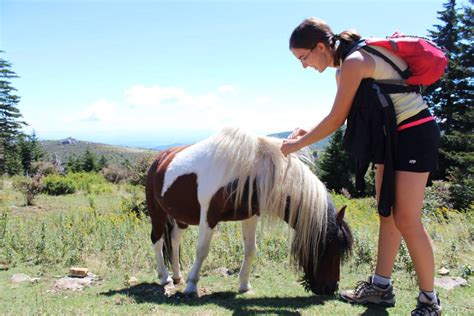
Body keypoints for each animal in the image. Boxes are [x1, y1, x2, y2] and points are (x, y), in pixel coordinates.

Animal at [144, 126, 352, 296]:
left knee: (174, 239)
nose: (330, 289)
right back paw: (165, 277)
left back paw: (177, 275)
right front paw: (191, 285)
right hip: (157, 212)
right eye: (329, 247)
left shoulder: (250, 216)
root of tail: (160, 159)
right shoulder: (208, 216)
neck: (248, 171)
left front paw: (244, 285)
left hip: (181, 218)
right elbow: (202, 250)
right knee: (157, 240)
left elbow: (251, 249)